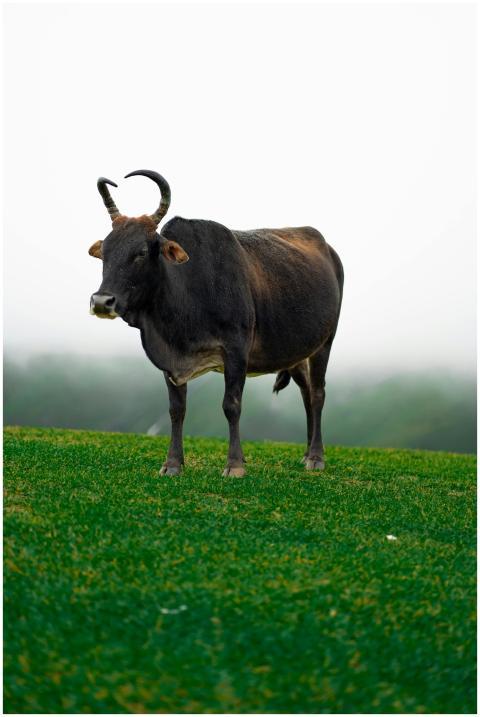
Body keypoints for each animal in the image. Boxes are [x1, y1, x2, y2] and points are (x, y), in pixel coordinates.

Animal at [89, 170, 343, 477]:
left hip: (325, 342)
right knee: (306, 393)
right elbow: (176, 409)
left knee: (317, 393)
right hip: (294, 352)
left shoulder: (236, 350)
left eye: (140, 252)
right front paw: (172, 464)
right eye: (105, 252)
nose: (101, 301)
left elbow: (231, 405)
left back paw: (316, 457)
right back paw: (306, 453)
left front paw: (234, 464)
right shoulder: (170, 360)